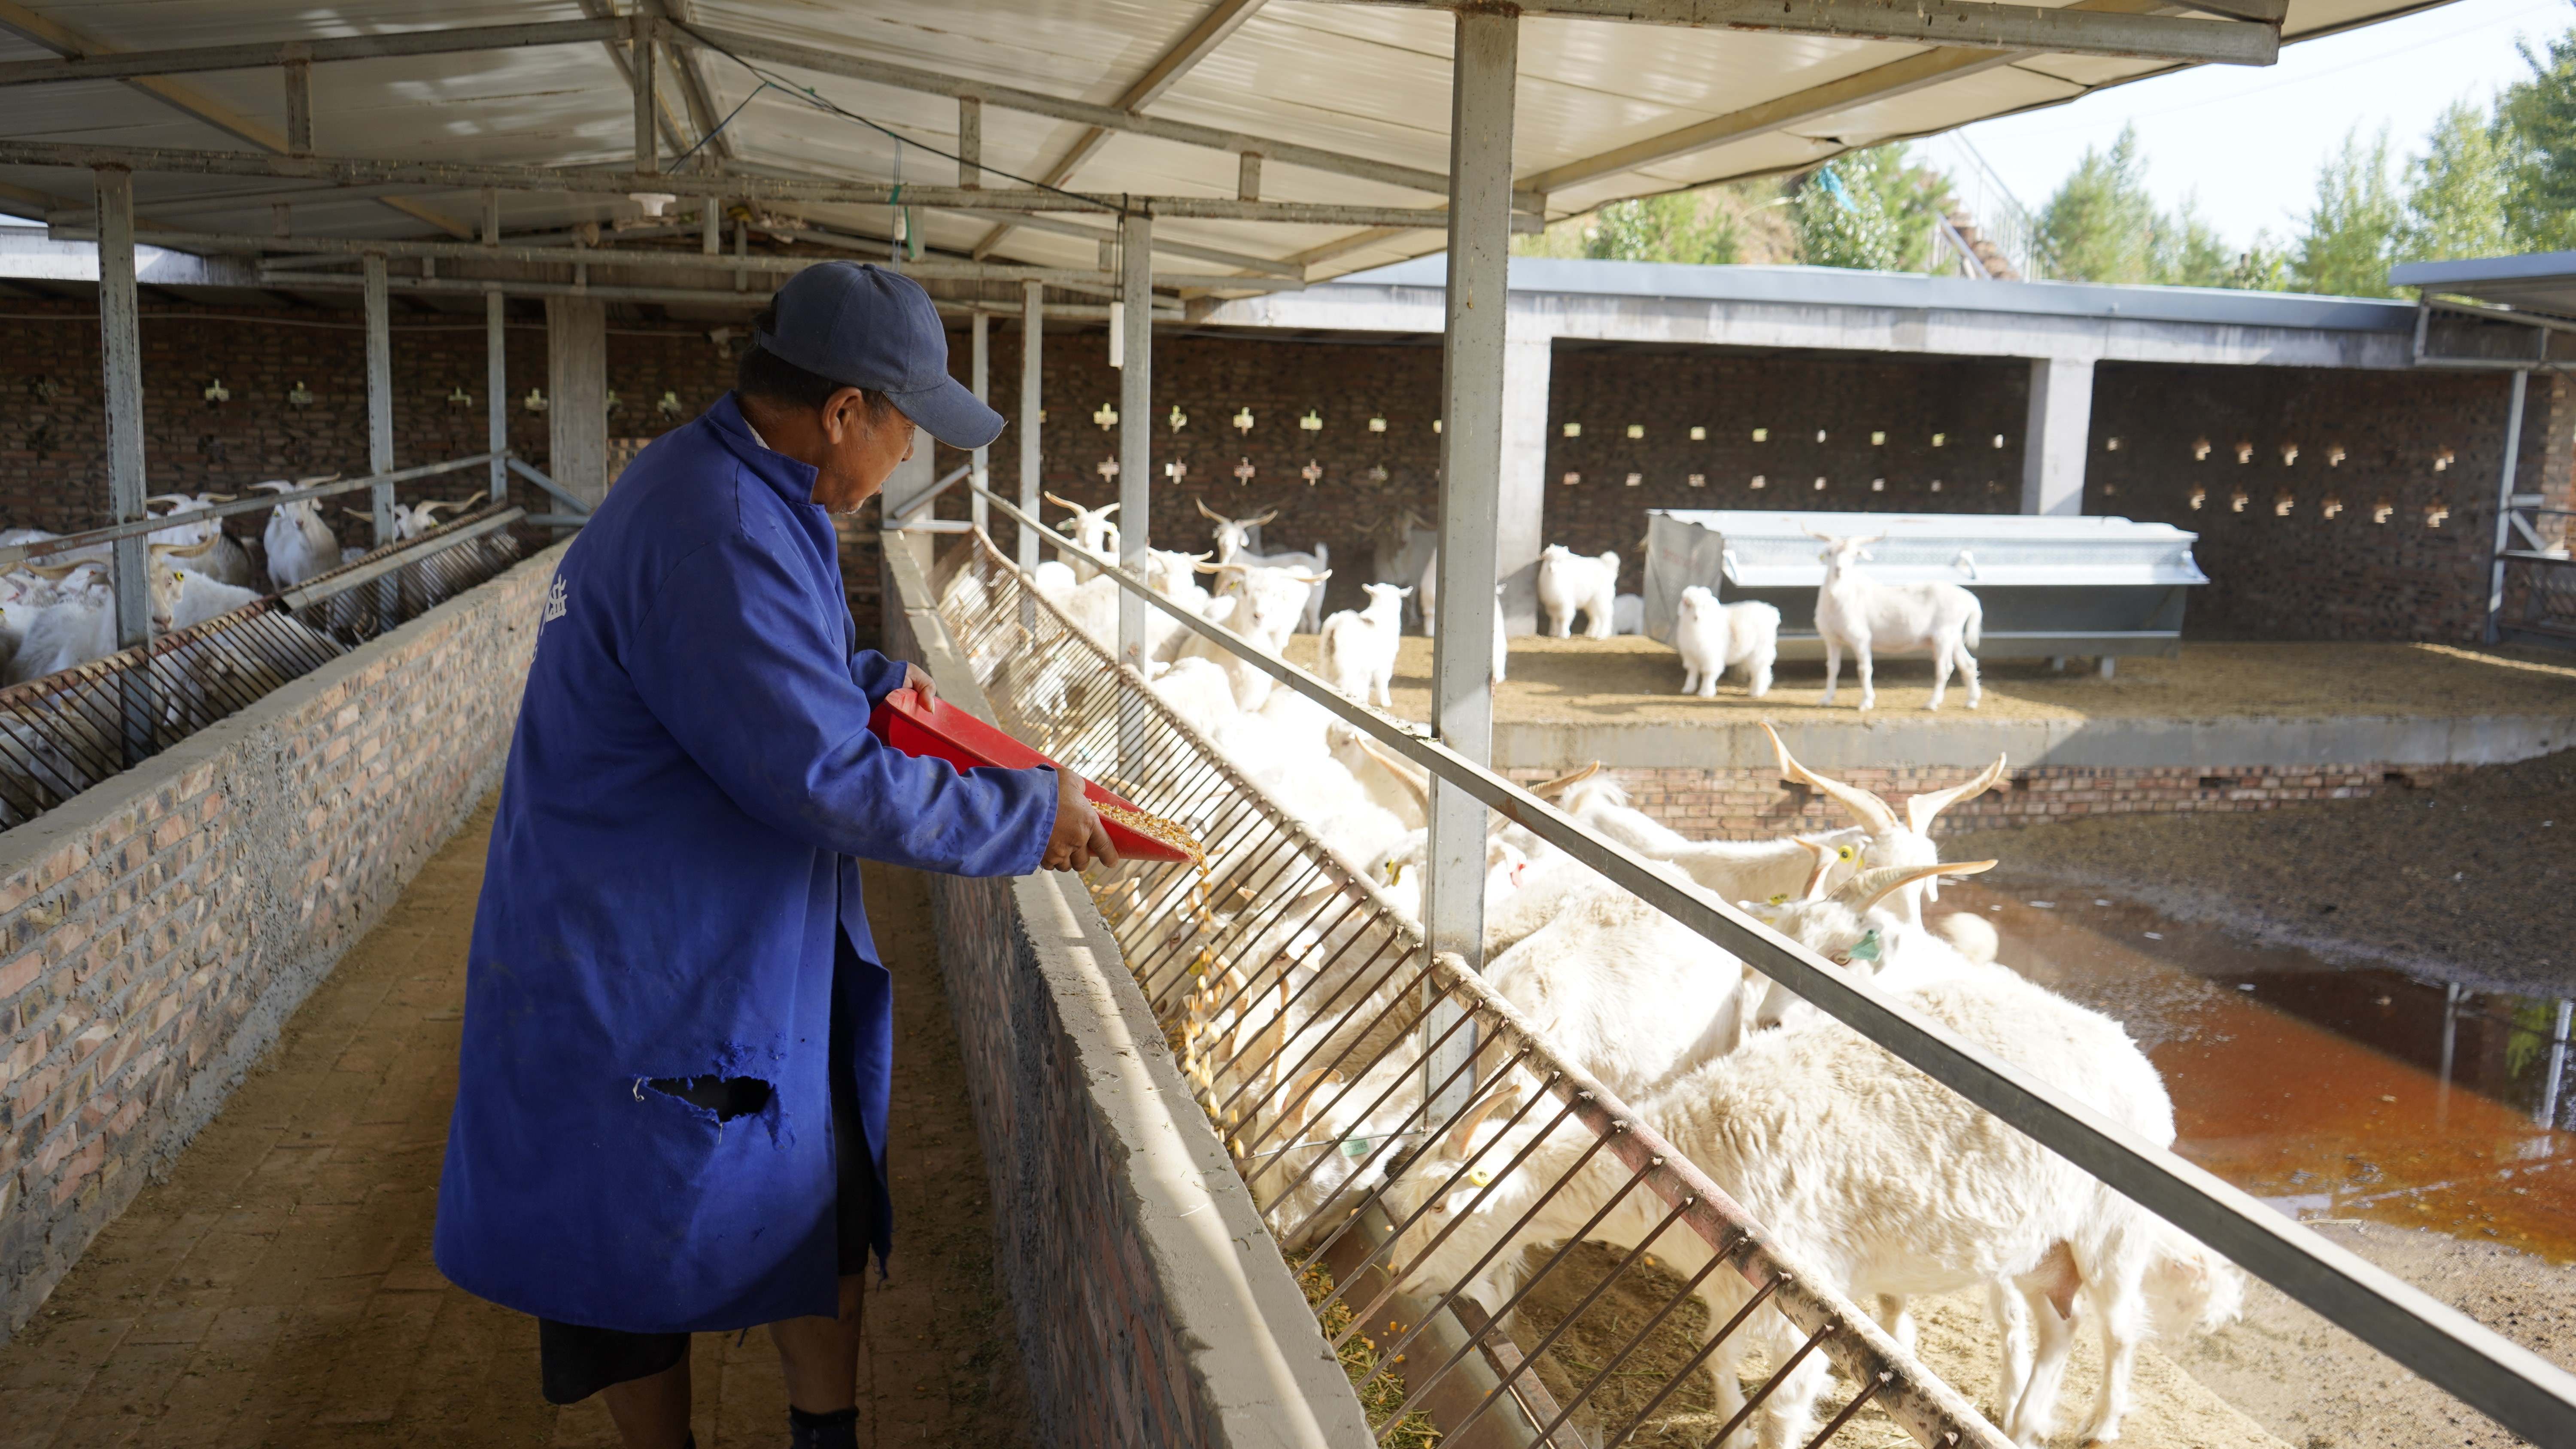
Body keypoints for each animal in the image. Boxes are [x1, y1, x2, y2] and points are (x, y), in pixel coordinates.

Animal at [1535, 541, 1618, 637]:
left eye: (1560, 560)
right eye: (1548, 559)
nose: (1551, 568)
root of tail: (1608, 568)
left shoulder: (1566, 603)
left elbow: (1564, 618)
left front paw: (1564, 634)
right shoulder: (1552, 603)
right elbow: (1554, 617)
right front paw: (1553, 632)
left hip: (1602, 598)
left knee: (1606, 615)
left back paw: (1602, 634)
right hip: (1591, 601)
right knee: (1595, 616)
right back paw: (1591, 633)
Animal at [1669, 588, 1772, 701]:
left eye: (1704, 606)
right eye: (1689, 605)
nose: (1697, 617)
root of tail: (1771, 611)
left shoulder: (1711, 657)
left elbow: (1708, 674)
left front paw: (1706, 692)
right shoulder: (1690, 655)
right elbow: (1692, 671)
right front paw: (1688, 688)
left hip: (1760, 652)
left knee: (1760, 672)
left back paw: (1756, 692)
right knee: (1763, 671)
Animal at [1814, 531, 1989, 711]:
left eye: (1854, 555)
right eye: (1829, 553)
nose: (1839, 570)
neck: (1840, 597)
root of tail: (1970, 599)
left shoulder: (1861, 637)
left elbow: (1864, 669)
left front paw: (1866, 702)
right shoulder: (1832, 639)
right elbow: (1832, 668)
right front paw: (1826, 700)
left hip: (1944, 635)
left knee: (1945, 668)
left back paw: (1932, 703)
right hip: (1954, 636)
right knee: (1968, 664)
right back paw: (1972, 701)